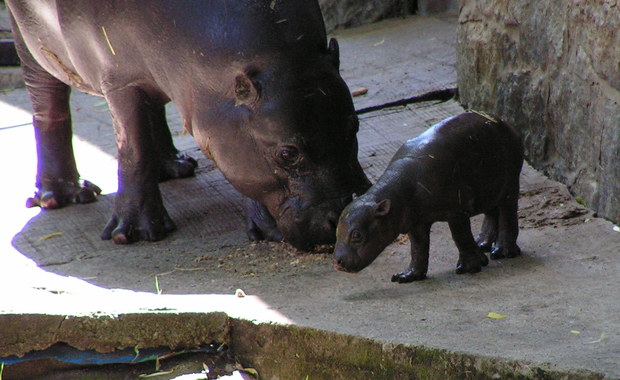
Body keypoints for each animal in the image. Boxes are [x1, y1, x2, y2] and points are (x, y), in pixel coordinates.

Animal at [6, 0, 368, 249]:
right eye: (287, 153)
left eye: (354, 127)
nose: (346, 213)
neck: (277, 62)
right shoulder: (122, 81)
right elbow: (132, 150)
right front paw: (135, 234)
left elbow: (244, 164)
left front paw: (267, 229)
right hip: (30, 40)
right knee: (48, 103)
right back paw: (64, 196)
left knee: (154, 110)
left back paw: (174, 167)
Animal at [334, 111, 524, 284]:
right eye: (337, 230)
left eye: (356, 235)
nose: (337, 262)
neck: (396, 194)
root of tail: (505, 123)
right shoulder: (416, 222)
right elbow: (418, 248)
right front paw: (406, 276)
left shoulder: (456, 213)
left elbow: (460, 236)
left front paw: (469, 268)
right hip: (487, 189)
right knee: (491, 213)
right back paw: (483, 243)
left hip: (509, 183)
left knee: (507, 214)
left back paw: (502, 252)